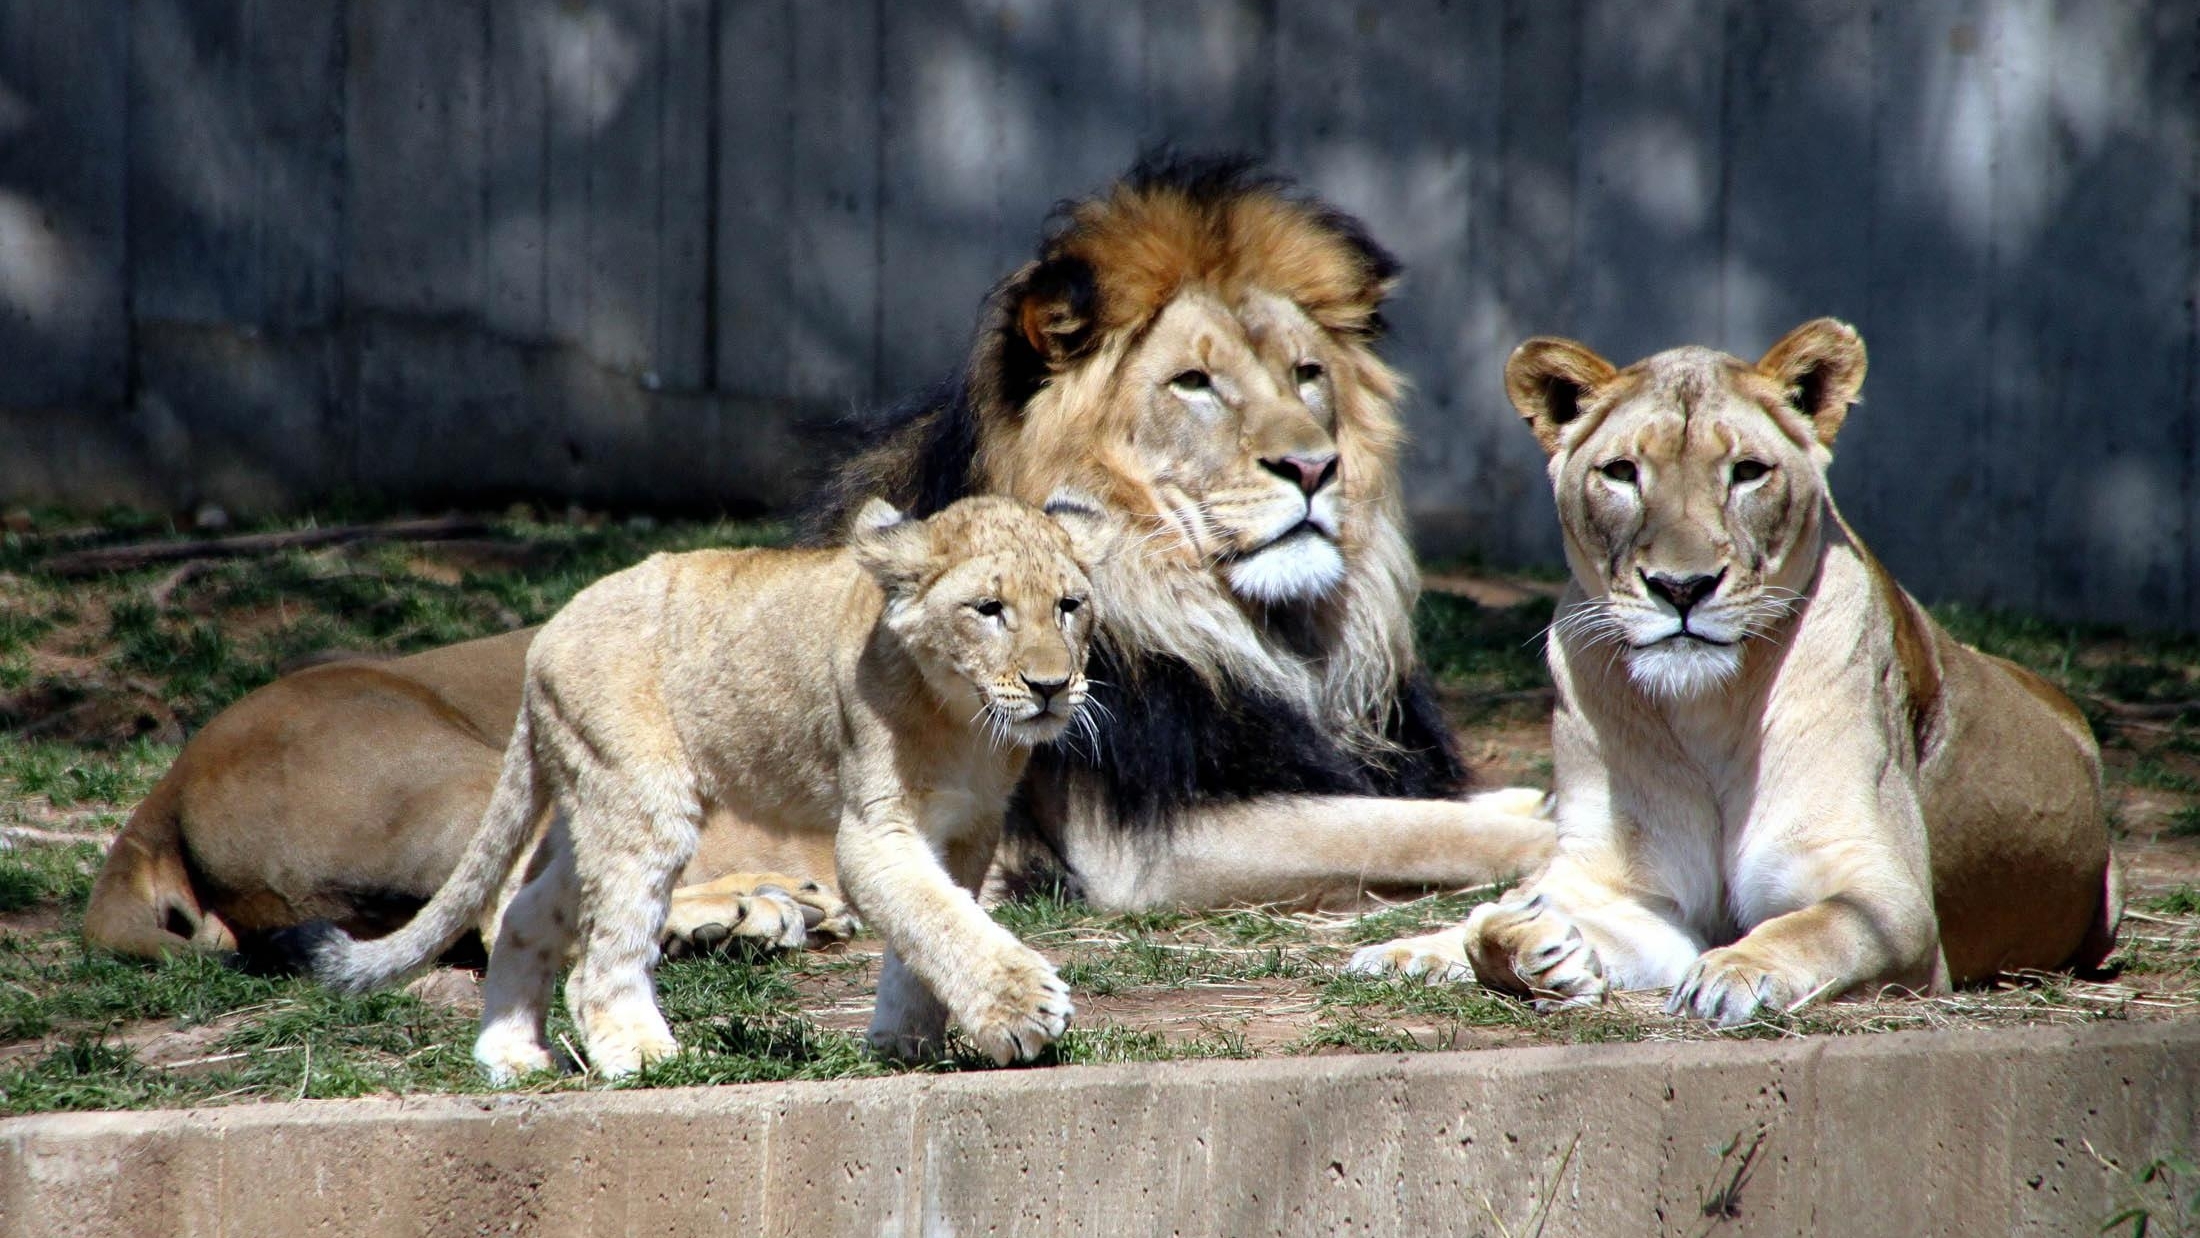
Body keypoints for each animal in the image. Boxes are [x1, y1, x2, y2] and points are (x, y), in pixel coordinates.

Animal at [85, 152, 1557, 967]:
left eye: (1307, 376)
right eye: (1194, 384)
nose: (1315, 466)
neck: (1255, 626)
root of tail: (157, 790)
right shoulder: (1135, 848)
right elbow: (1406, 826)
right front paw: (1540, 818)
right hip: (465, 763)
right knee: (499, 908)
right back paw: (742, 911)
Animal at [297, 499, 1100, 1081]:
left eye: (1069, 605)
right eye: (989, 610)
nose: (1051, 686)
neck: (966, 722)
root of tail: (546, 634)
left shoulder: (967, 829)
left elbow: (929, 930)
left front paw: (904, 1042)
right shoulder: (874, 830)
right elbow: (937, 920)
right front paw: (1023, 1011)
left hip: (597, 804)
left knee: (527, 909)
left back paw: (514, 1055)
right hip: (645, 802)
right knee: (599, 956)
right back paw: (641, 1055)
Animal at [1346, 318, 2120, 1029]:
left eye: (1747, 472)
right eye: (1621, 472)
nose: (1681, 587)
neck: (1704, 710)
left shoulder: (1886, 898)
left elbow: (1817, 926)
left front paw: (1732, 974)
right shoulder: (1639, 894)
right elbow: (1500, 921)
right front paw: (1539, 947)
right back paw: (1404, 951)